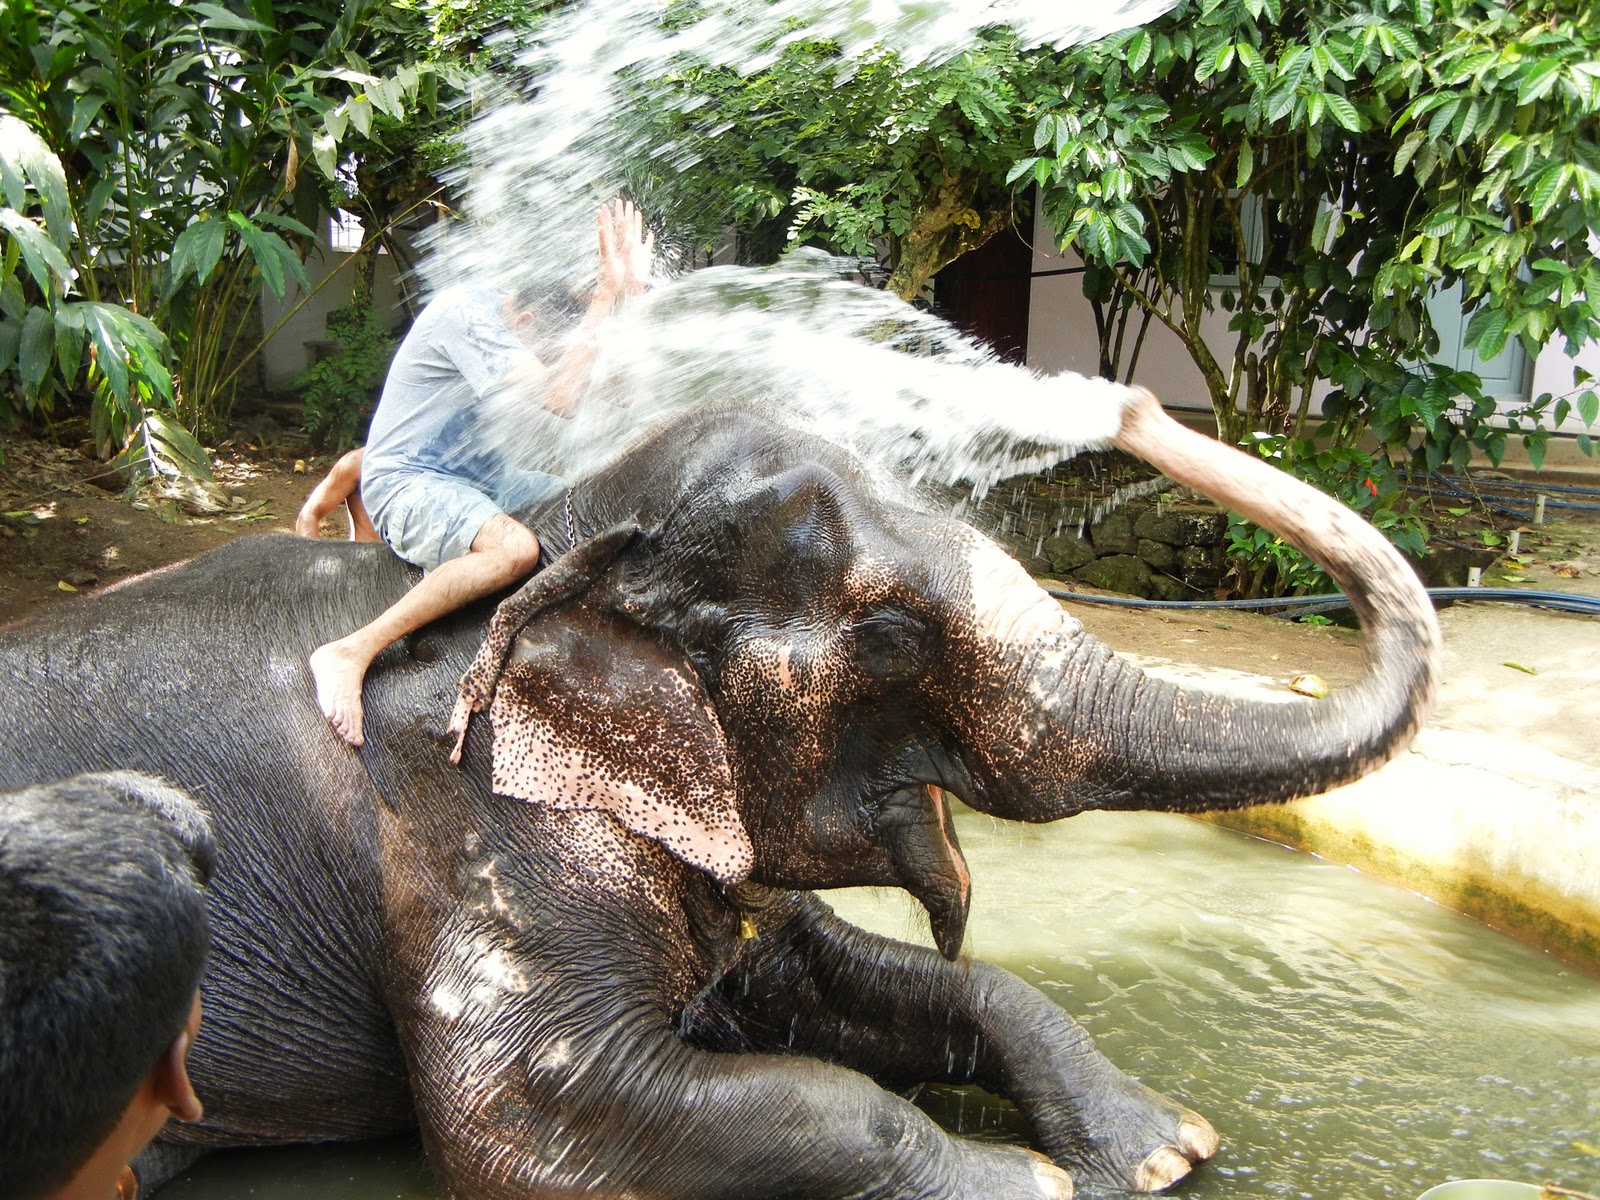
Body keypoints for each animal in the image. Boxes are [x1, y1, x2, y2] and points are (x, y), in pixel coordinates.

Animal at [0, 390, 1440, 1196]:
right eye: (890, 636)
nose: (1137, 410)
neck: (575, 527)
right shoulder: (468, 814)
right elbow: (536, 1117)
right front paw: (1032, 1182)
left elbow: (846, 977)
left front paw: (1163, 1150)